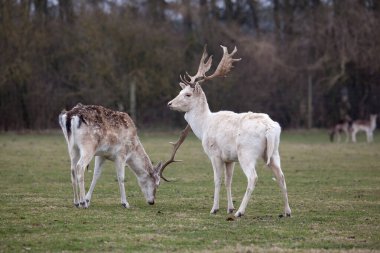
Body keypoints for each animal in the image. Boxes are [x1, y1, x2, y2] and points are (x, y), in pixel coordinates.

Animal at [58, 104, 189, 209]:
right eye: (157, 183)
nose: (152, 202)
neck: (134, 147)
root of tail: (69, 116)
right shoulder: (121, 154)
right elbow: (121, 177)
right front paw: (125, 203)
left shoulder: (102, 155)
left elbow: (96, 175)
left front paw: (88, 199)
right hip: (88, 146)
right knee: (80, 167)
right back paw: (82, 203)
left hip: (72, 147)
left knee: (72, 169)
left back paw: (76, 202)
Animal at [167, 45, 290, 217]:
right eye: (180, 92)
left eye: (188, 94)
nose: (169, 104)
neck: (204, 126)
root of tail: (269, 129)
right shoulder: (229, 159)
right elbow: (228, 181)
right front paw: (229, 208)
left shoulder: (215, 154)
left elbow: (217, 180)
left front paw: (215, 209)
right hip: (273, 152)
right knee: (281, 176)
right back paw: (287, 211)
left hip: (247, 153)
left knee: (253, 178)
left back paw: (240, 212)